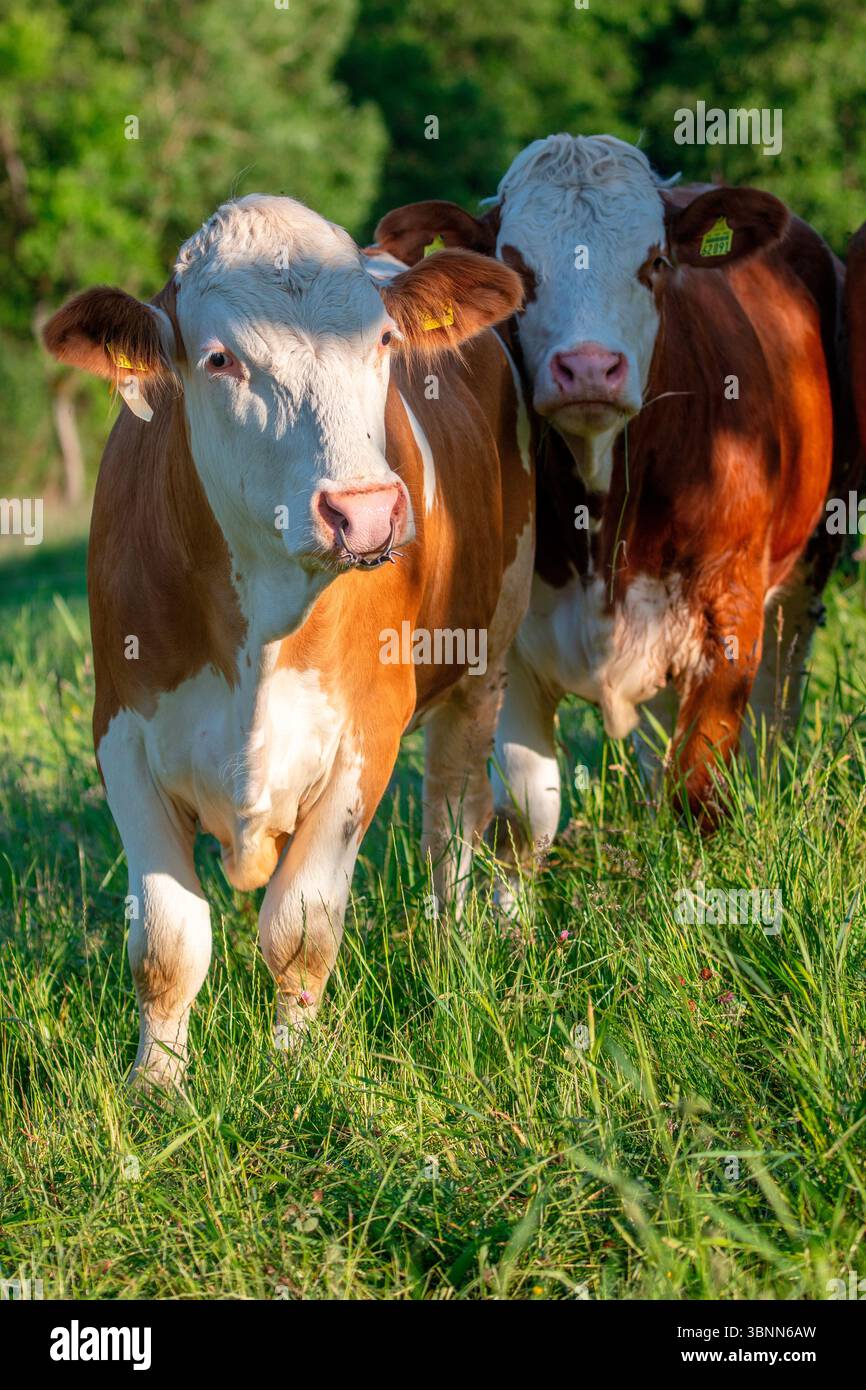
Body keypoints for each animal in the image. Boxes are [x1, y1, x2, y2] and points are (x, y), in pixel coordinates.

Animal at [42, 194, 533, 1089]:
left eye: (383, 341)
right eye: (220, 360)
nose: (365, 512)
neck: (259, 632)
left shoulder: (364, 734)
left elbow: (300, 929)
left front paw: (295, 1067)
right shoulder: (121, 733)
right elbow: (167, 941)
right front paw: (156, 1083)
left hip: (485, 656)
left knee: (455, 815)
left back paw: (455, 949)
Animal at [375, 134, 854, 865]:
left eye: (655, 262)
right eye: (517, 269)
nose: (590, 368)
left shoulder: (729, 610)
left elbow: (699, 789)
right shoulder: (515, 637)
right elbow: (523, 820)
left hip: (809, 562)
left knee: (780, 696)